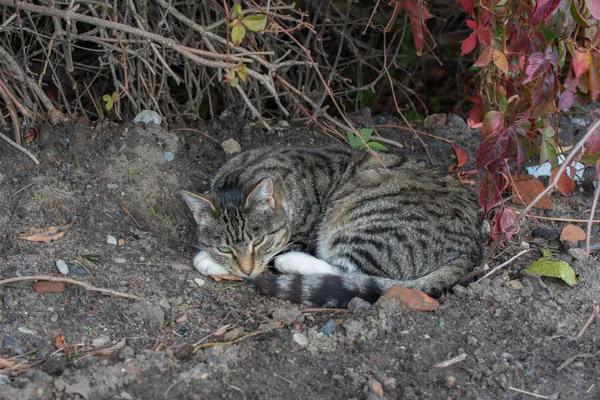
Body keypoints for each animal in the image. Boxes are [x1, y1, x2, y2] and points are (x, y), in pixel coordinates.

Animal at [182, 146, 482, 306]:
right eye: (225, 248)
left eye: (259, 241)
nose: (245, 268)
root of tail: (472, 249)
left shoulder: (296, 238)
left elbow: (265, 263)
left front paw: (207, 261)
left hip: (370, 222)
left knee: (348, 273)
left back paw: (292, 262)